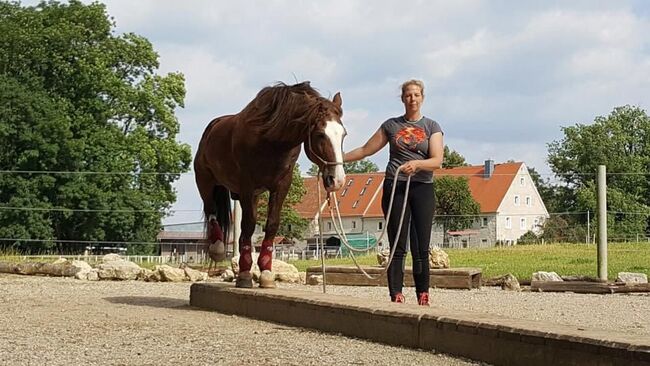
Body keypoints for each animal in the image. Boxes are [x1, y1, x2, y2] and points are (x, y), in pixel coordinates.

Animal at [192, 82, 344, 288]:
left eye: (343, 134)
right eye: (320, 134)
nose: (337, 180)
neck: (271, 141)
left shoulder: (281, 186)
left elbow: (271, 224)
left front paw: (265, 272)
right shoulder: (246, 185)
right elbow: (249, 225)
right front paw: (245, 274)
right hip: (206, 181)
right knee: (211, 211)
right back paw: (217, 248)